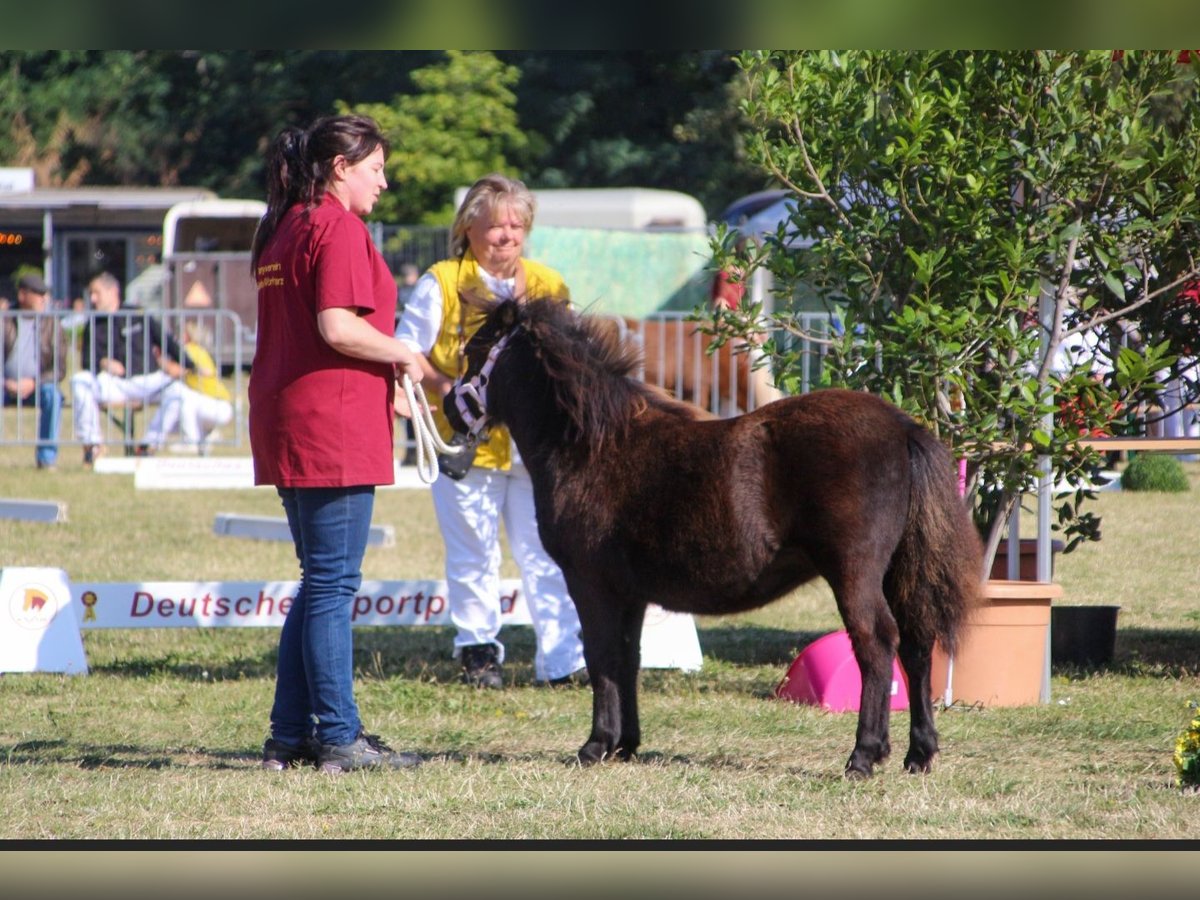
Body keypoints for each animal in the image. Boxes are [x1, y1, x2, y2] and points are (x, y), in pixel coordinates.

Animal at [446, 300, 979, 777]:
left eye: (475, 351)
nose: (450, 407)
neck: (588, 446)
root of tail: (903, 426)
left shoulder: (590, 583)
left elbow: (600, 657)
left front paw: (596, 745)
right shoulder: (630, 594)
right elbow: (627, 659)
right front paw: (626, 744)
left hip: (854, 573)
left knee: (876, 644)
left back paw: (864, 756)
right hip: (897, 571)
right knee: (916, 646)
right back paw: (919, 754)